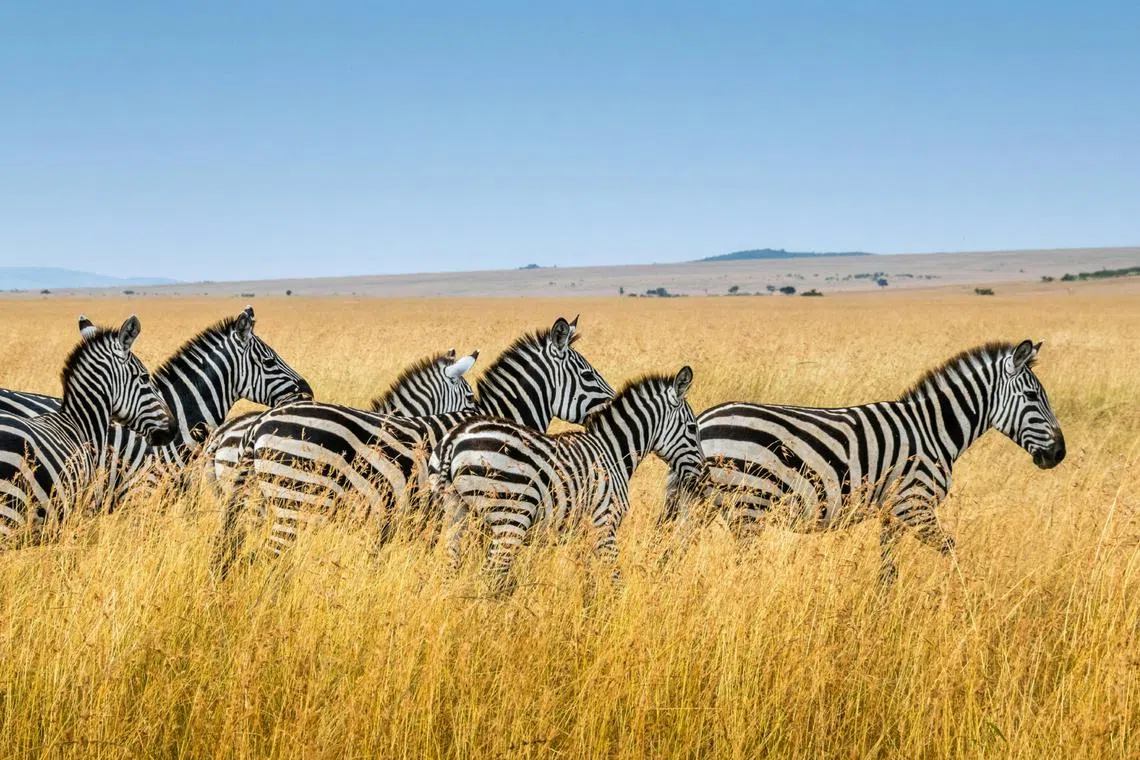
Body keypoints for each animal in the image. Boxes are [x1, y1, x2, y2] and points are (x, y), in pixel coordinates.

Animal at [434, 367, 702, 594]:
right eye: (692, 427)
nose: (701, 474)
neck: (613, 452)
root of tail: (454, 439)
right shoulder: (604, 523)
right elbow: (615, 579)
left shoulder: (583, 532)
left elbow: (589, 580)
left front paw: (590, 612)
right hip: (510, 517)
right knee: (491, 574)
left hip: (456, 512)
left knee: (450, 568)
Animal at [663, 340, 1066, 584]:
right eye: (1034, 397)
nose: (1059, 454)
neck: (934, 430)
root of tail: (703, 420)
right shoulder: (914, 504)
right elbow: (951, 550)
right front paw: (964, 598)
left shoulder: (892, 512)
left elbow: (888, 569)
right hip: (748, 504)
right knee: (741, 565)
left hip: (699, 506)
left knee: (672, 554)